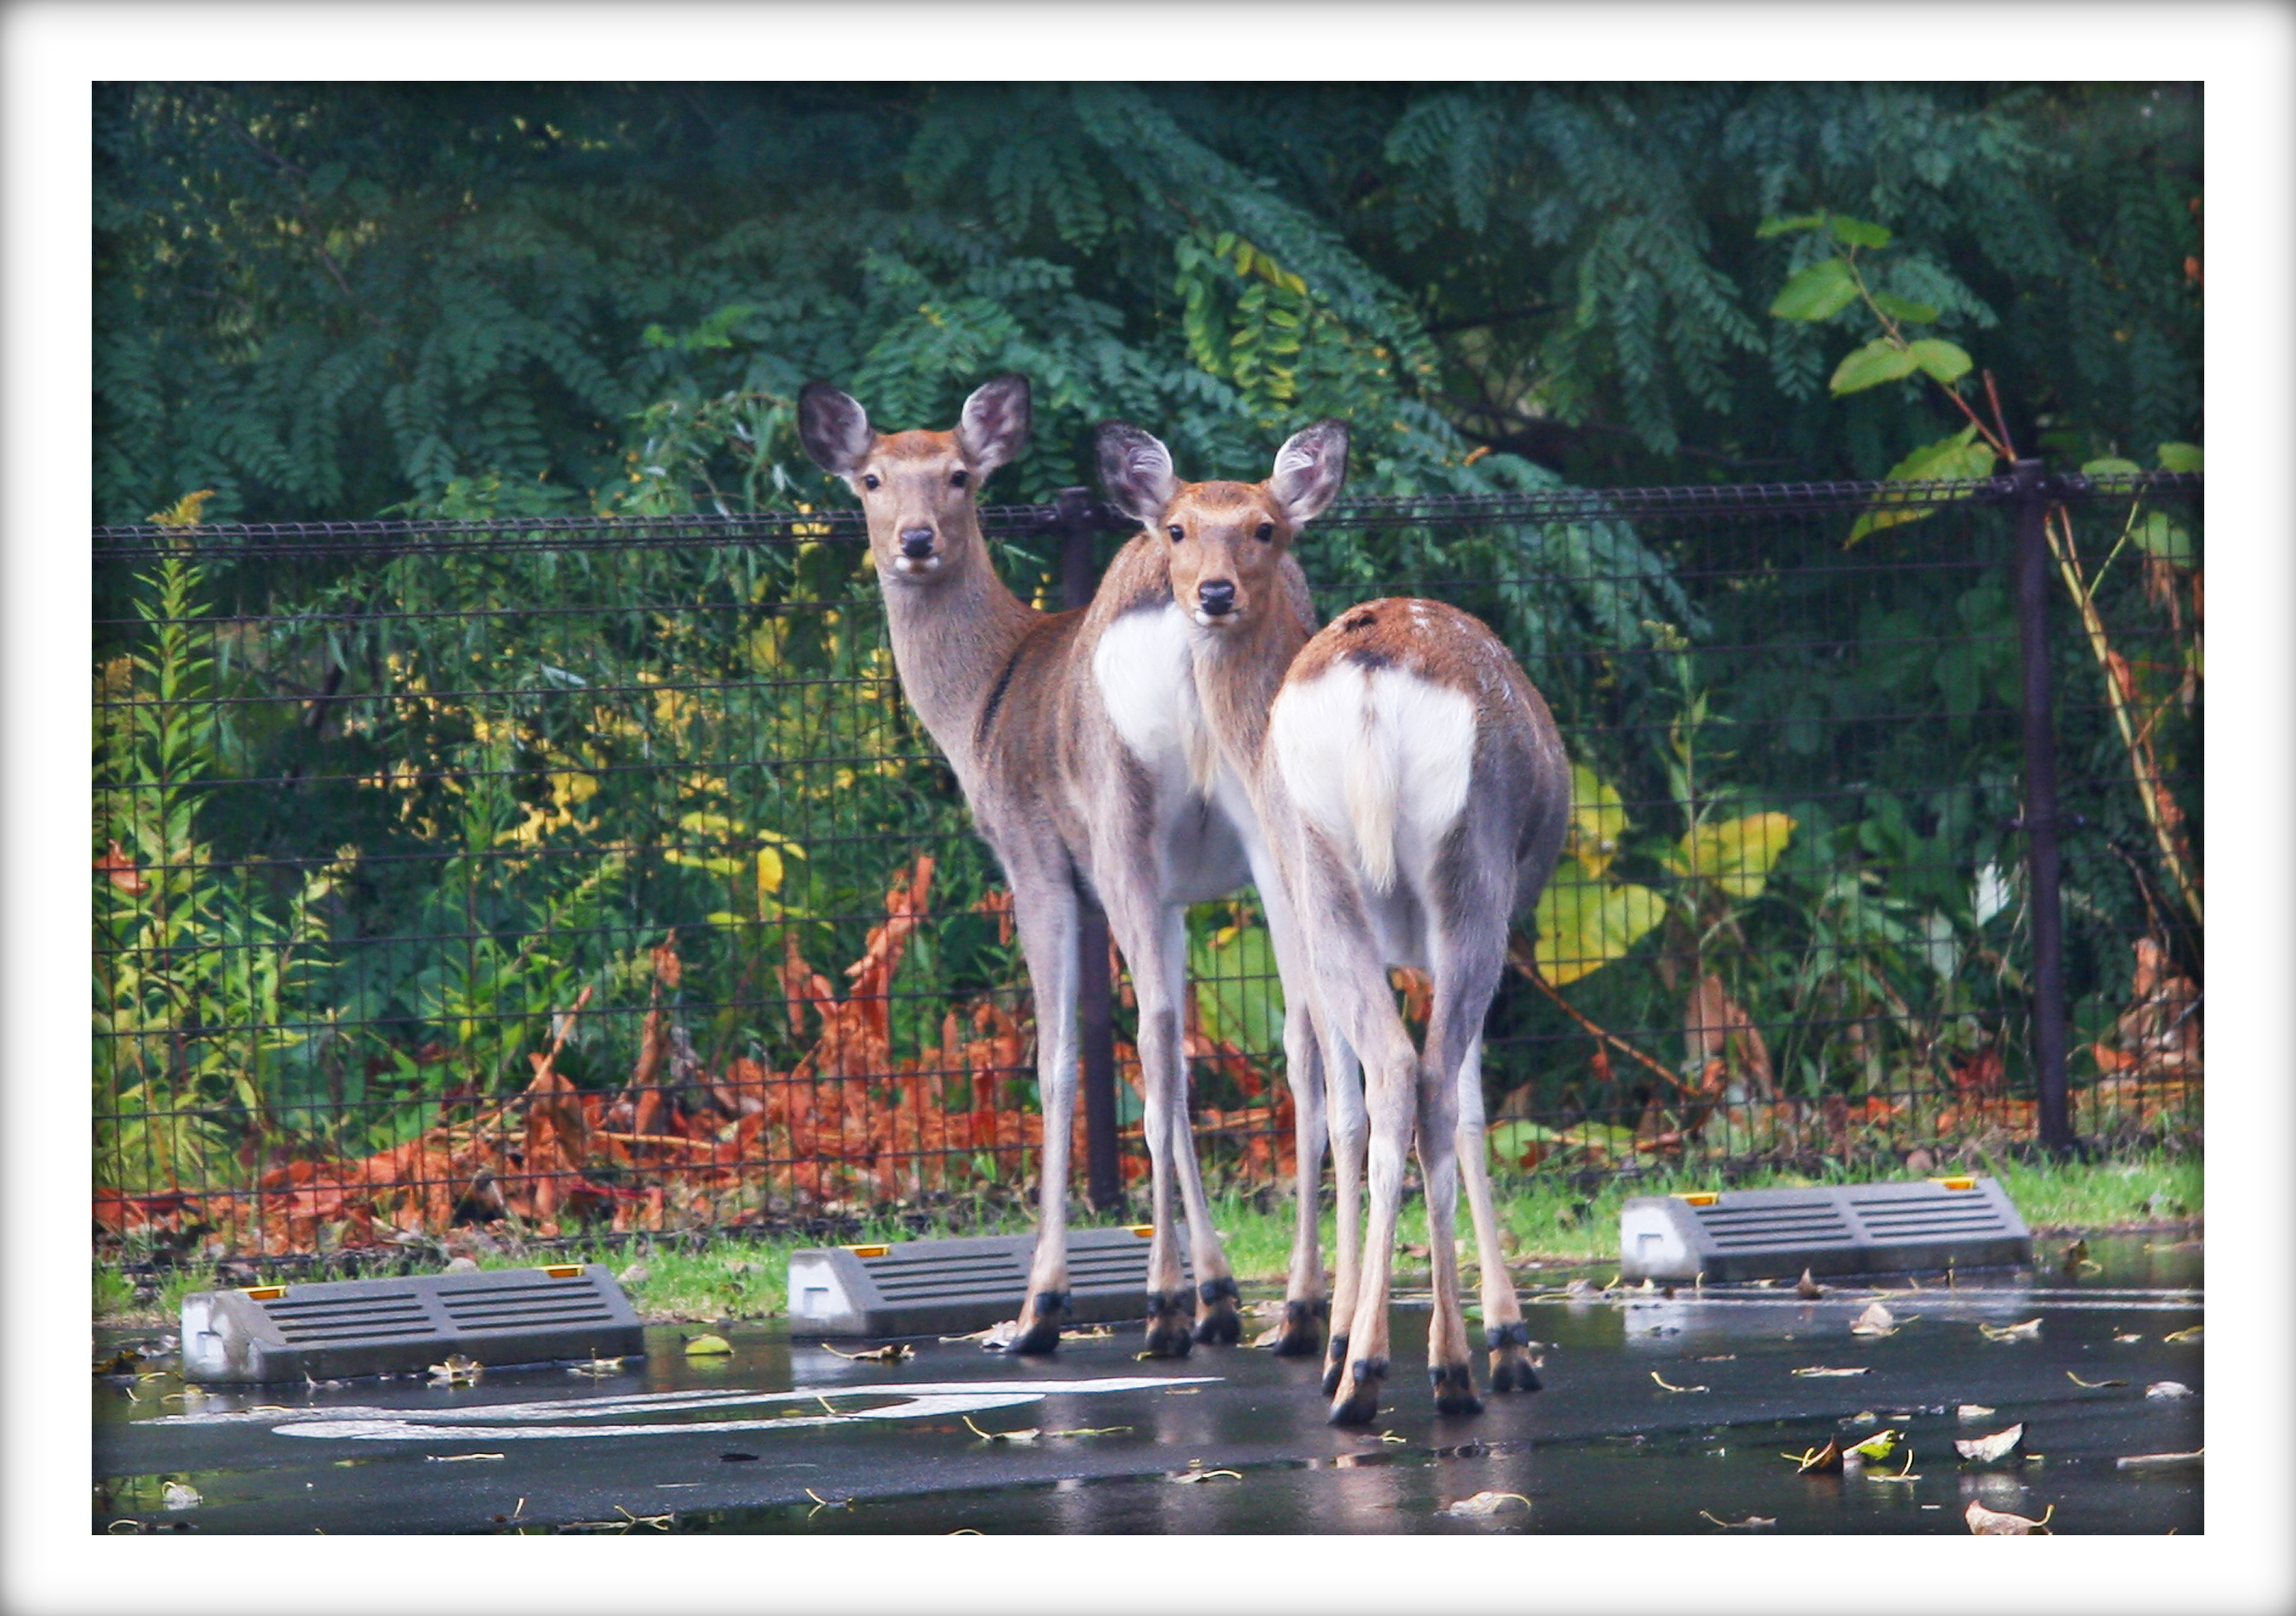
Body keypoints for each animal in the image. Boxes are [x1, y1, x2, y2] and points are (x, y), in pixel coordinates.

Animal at [799, 372, 1340, 1359]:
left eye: (960, 476)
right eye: (871, 479)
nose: (916, 541)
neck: (984, 697)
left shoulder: (1036, 857)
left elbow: (1057, 1061)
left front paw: (1053, 1305)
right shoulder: (1179, 894)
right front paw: (1220, 1292)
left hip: (1120, 817)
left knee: (1152, 1037)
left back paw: (1139, 1308)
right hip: (1272, 829)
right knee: (1302, 1028)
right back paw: (1295, 1305)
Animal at [1097, 420, 1570, 1422]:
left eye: (1264, 527)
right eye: (1176, 528)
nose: (1213, 593)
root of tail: (1368, 689)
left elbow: (1339, 1099)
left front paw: (1328, 1322)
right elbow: (1435, 1108)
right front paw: (1488, 1336)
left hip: (1339, 876)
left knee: (1400, 1081)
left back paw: (1386, 1367)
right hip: (1462, 878)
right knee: (1416, 1082)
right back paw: (1425, 1368)